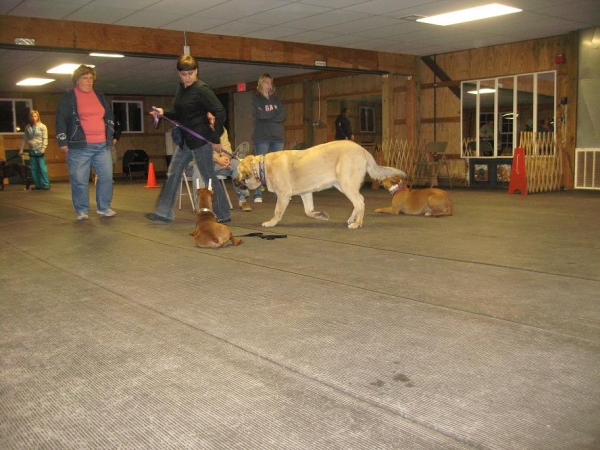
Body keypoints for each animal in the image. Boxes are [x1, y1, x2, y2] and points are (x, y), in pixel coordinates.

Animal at [237, 141, 406, 229]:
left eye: (240, 174)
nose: (235, 182)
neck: (262, 167)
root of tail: (363, 150)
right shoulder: (305, 193)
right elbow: (308, 211)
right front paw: (320, 215)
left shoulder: (283, 194)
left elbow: (277, 211)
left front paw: (271, 222)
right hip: (342, 185)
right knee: (359, 201)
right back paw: (352, 219)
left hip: (346, 184)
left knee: (360, 202)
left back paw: (357, 223)